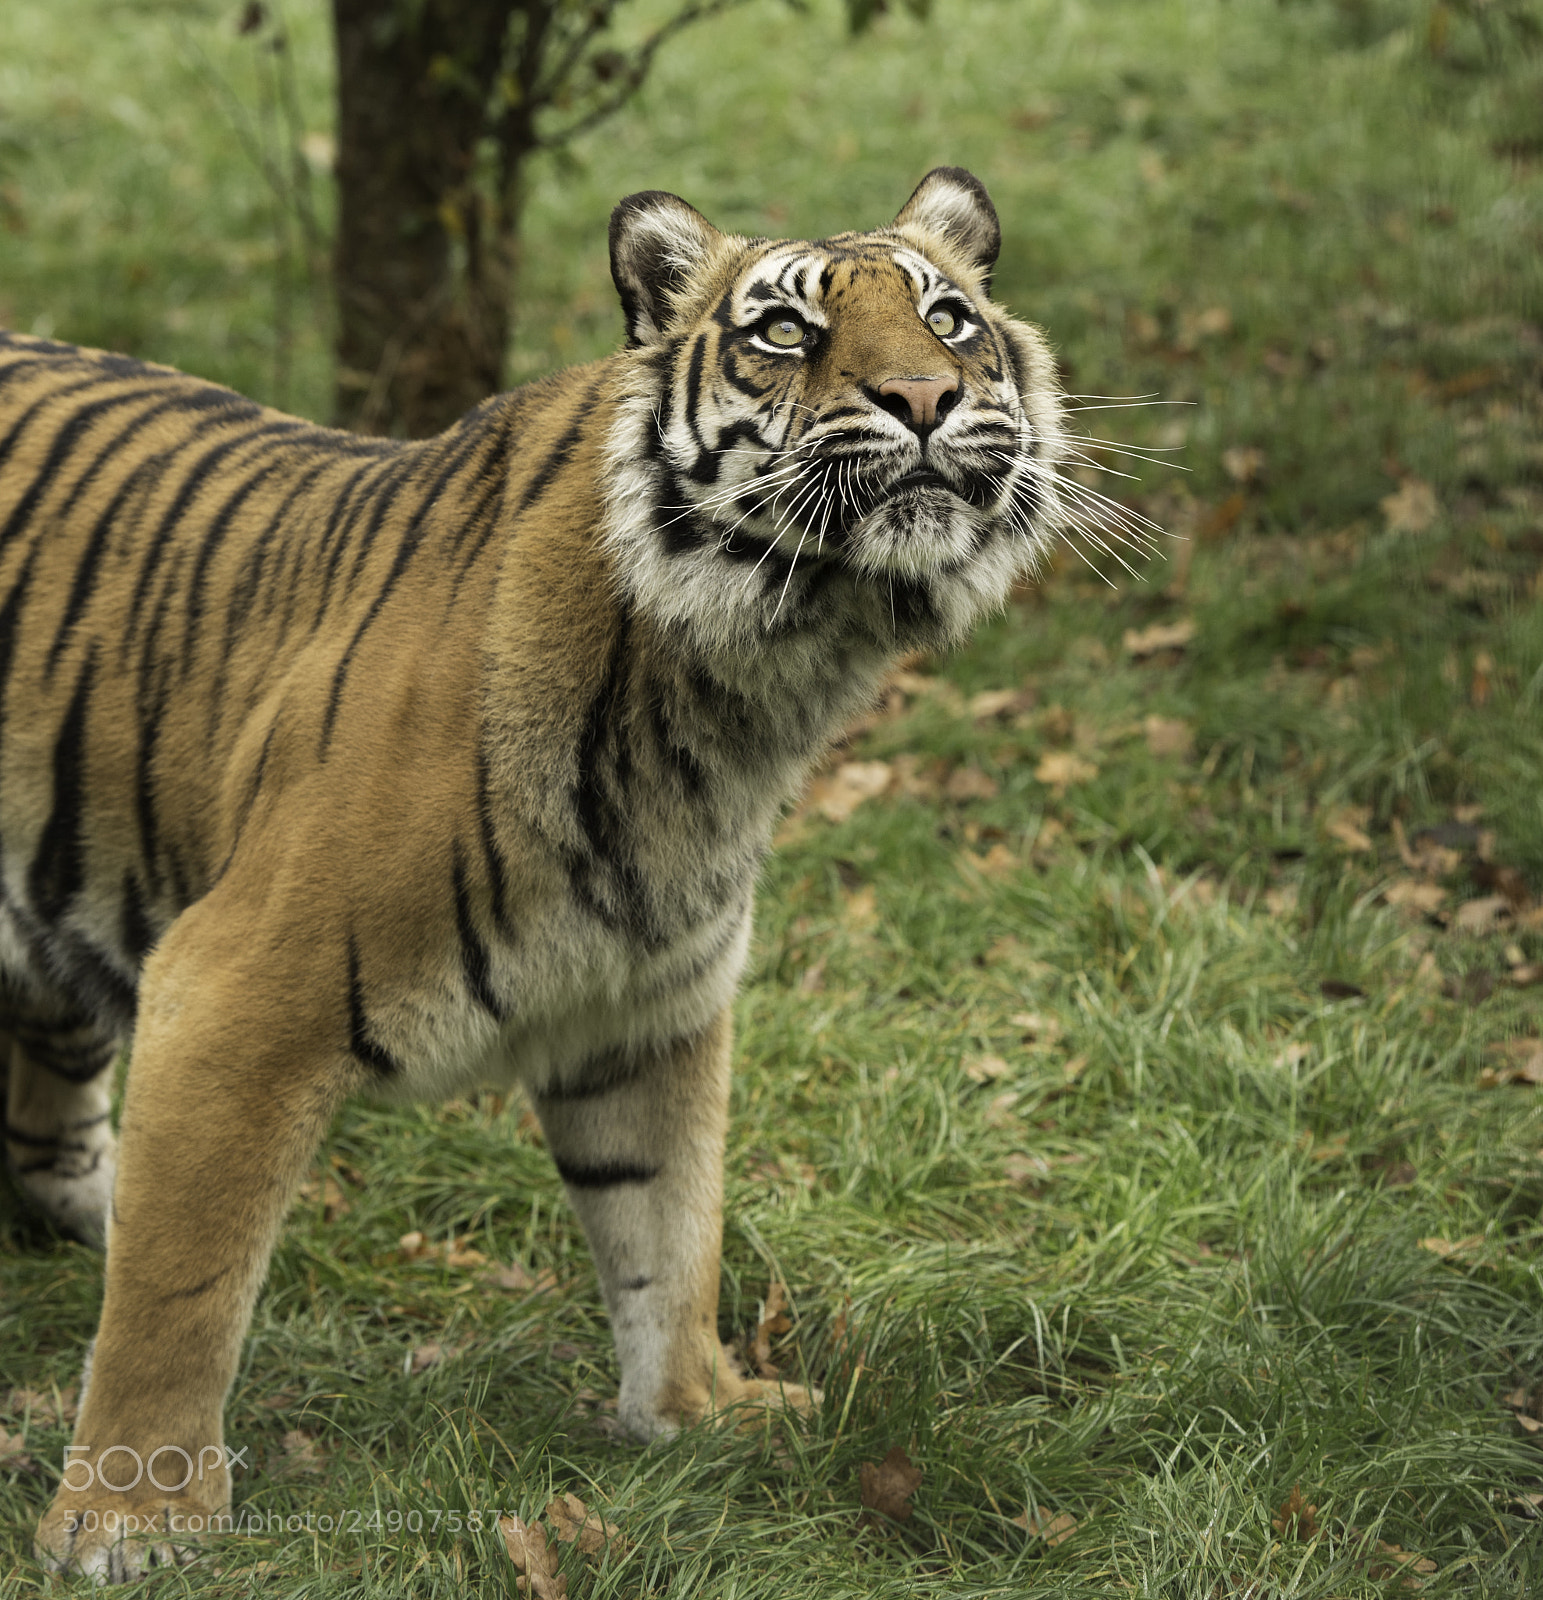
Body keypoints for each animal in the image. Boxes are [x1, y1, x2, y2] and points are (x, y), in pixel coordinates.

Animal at [0, 166, 1066, 1580]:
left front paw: (695, 1414)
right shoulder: (232, 988)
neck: (749, 689)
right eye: (786, 332)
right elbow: (180, 1289)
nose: (925, 398)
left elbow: (670, 1225)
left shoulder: (647, 1007)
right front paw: (128, 1519)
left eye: (949, 319)